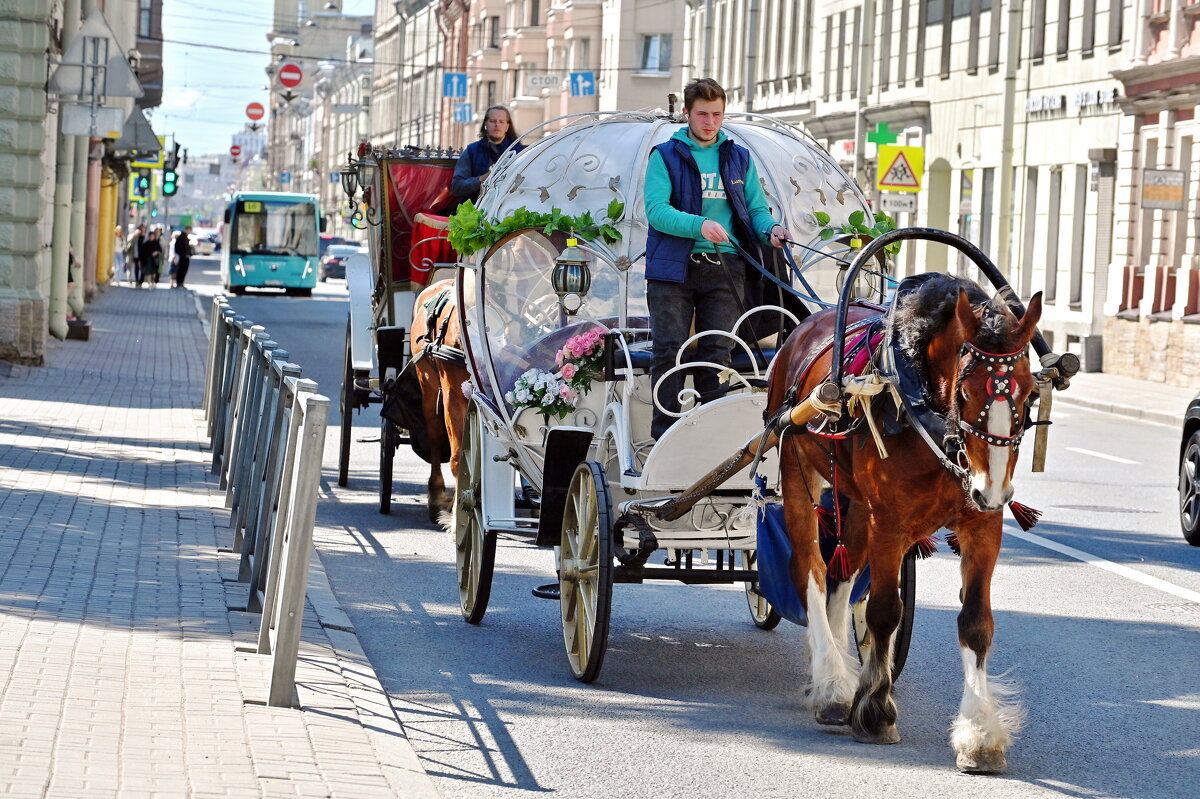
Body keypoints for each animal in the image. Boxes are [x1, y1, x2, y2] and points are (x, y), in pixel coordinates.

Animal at [768, 273, 1041, 772]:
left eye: (1030, 392)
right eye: (966, 392)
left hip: (858, 505)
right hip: (799, 471)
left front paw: (978, 732)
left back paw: (836, 668)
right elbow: (883, 611)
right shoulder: (890, 522)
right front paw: (875, 711)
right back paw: (831, 682)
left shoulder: (981, 526)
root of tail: (807, 324)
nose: (991, 491)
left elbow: (976, 623)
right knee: (812, 571)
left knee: (842, 575)